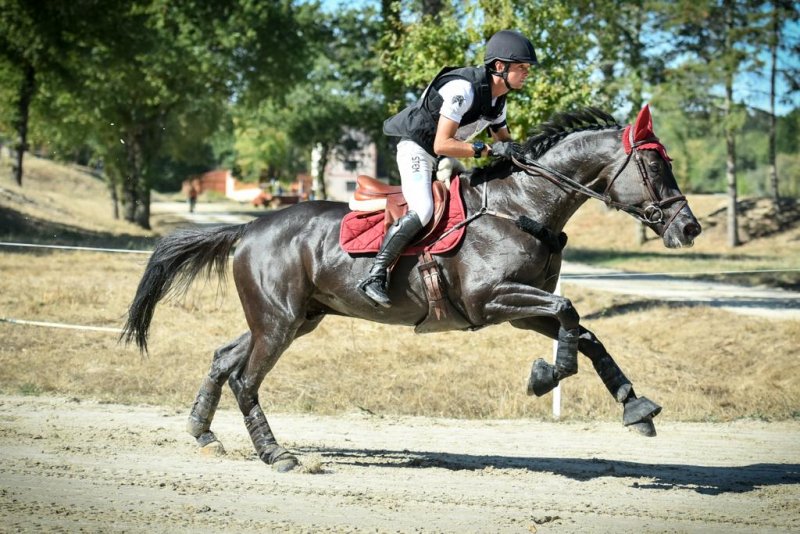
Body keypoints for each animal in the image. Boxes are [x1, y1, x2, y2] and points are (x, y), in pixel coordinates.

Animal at [120, 105, 700, 474]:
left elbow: (580, 329)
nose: (689, 228)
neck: (522, 206)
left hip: (295, 318)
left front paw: (635, 407)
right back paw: (277, 456)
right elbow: (568, 310)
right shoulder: (491, 299)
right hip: (279, 322)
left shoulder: (519, 310)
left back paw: (203, 434)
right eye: (654, 165)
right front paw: (545, 376)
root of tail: (249, 228)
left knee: (224, 357)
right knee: (246, 379)